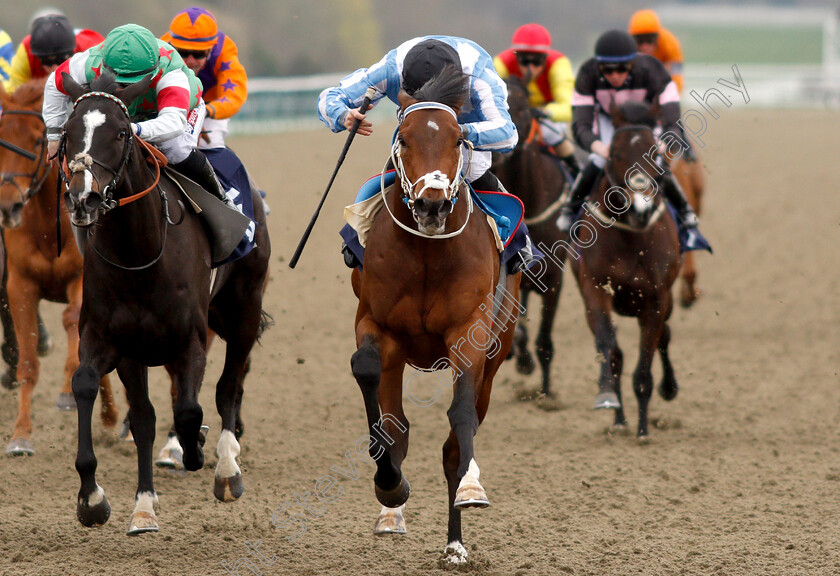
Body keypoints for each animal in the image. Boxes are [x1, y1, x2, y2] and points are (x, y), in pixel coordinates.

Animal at [0, 77, 118, 454]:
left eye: (37, 139)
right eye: (0, 139)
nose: (8, 206)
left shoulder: (82, 280)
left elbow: (72, 323)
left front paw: (67, 393)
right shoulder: (20, 285)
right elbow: (28, 361)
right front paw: (20, 435)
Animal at [59, 73, 270, 536]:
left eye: (122, 133)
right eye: (67, 133)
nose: (84, 200)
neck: (140, 255)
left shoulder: (189, 341)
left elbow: (190, 409)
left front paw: (196, 449)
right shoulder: (114, 344)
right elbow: (110, 400)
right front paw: (97, 499)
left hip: (244, 309)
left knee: (229, 386)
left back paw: (226, 468)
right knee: (151, 414)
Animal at [346, 65, 520, 564]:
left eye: (459, 138)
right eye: (402, 137)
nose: (431, 203)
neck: (426, 250)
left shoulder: (470, 333)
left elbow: (459, 421)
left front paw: (469, 493)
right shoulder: (377, 326)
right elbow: (370, 380)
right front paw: (389, 486)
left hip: (498, 351)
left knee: (462, 429)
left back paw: (456, 540)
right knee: (396, 423)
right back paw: (391, 510)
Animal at [572, 101, 684, 438]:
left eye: (655, 152)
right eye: (615, 154)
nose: (640, 208)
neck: (631, 237)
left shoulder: (656, 299)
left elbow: (646, 359)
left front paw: (644, 429)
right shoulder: (595, 288)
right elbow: (608, 345)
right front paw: (607, 396)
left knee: (665, 337)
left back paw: (668, 389)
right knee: (617, 354)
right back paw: (619, 419)